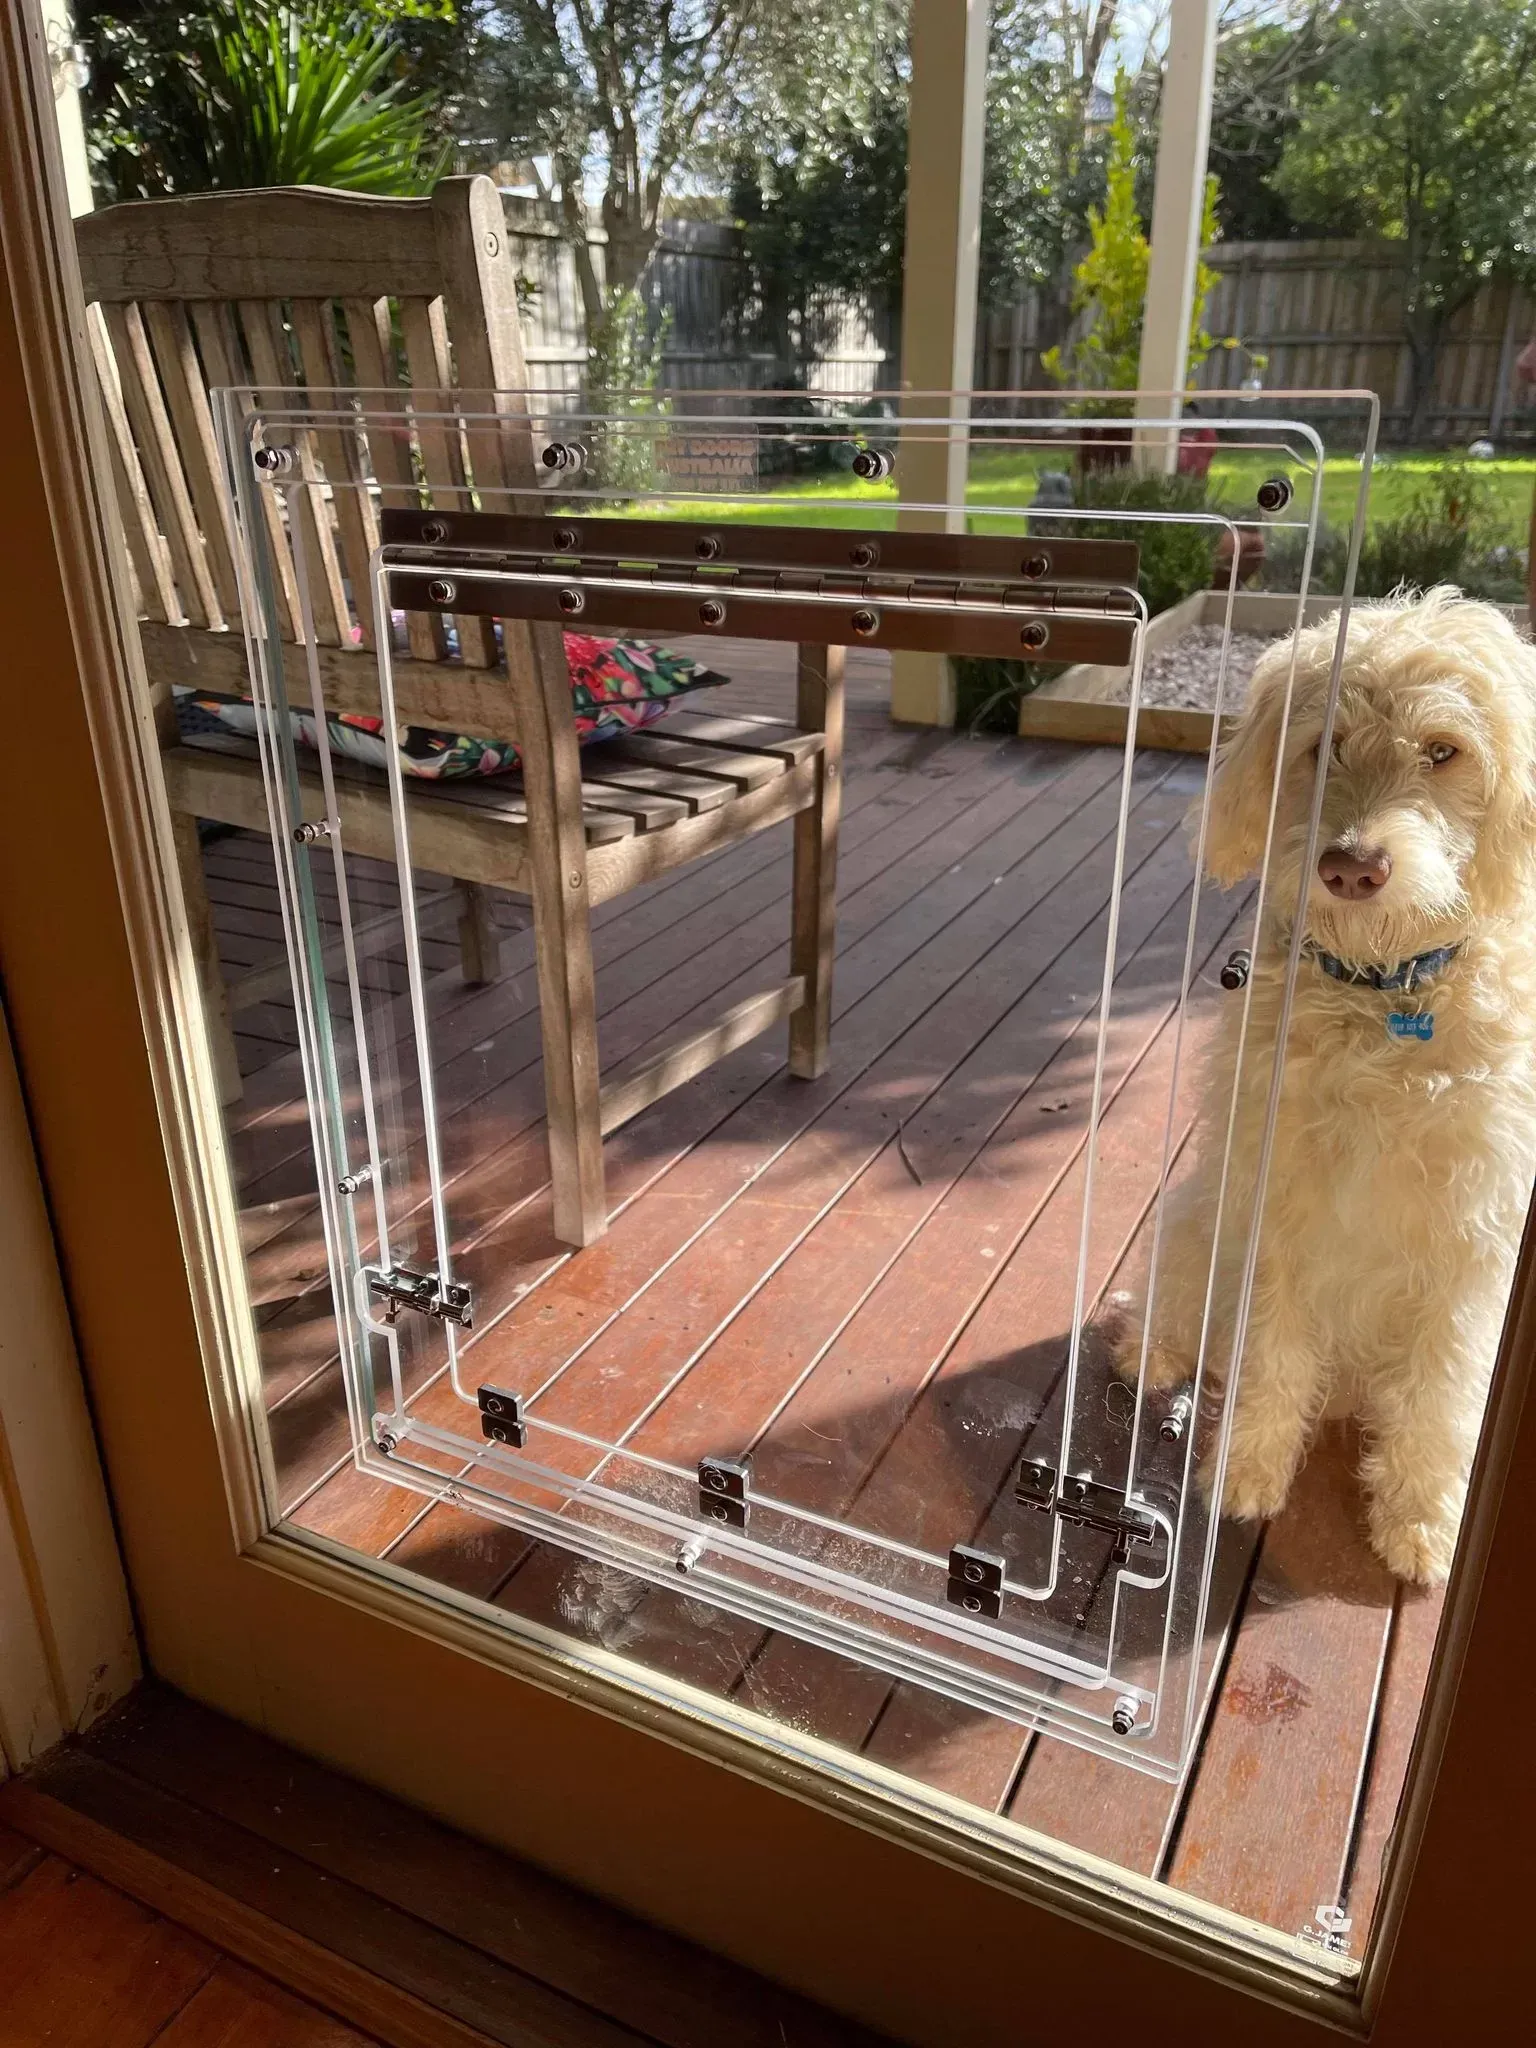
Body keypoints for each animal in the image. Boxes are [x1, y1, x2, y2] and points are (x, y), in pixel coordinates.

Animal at [1119, 587, 1536, 1584]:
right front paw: (1246, 1471)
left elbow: (1443, 1392)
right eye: (1325, 744)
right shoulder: (1283, 1210)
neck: (1388, 1002)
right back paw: (1149, 1354)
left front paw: (1420, 1518)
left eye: (1443, 750)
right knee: (1181, 1305)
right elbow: (1269, 1352)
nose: (1353, 866)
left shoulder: (1478, 1244)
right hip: (1196, 1213)